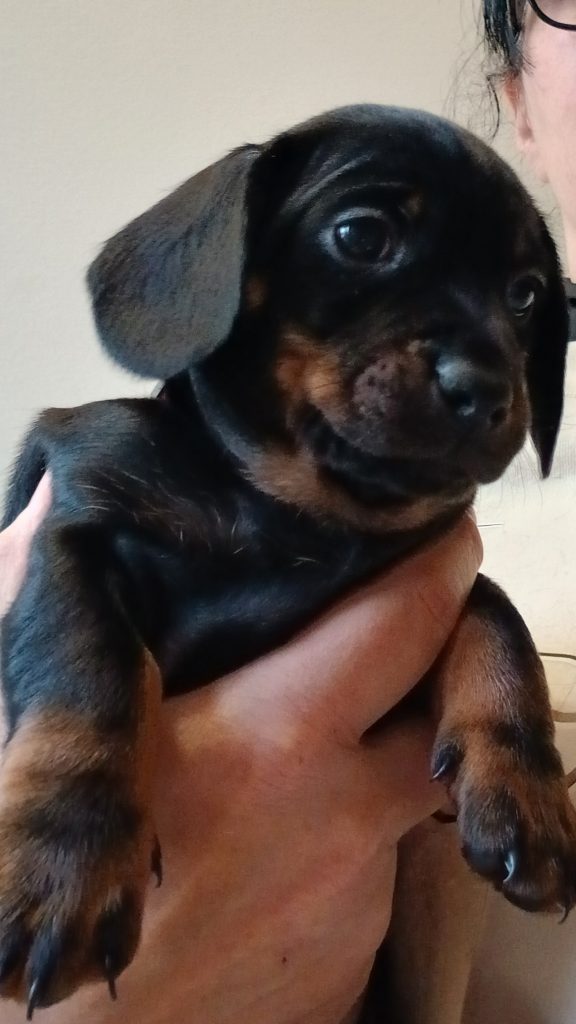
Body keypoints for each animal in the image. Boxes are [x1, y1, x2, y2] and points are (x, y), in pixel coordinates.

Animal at [1, 104, 575, 1018]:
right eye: (362, 235)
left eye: (525, 294)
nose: (487, 390)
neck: (291, 512)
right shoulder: (74, 530)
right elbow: (88, 671)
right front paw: (68, 866)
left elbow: (495, 616)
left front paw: (524, 786)